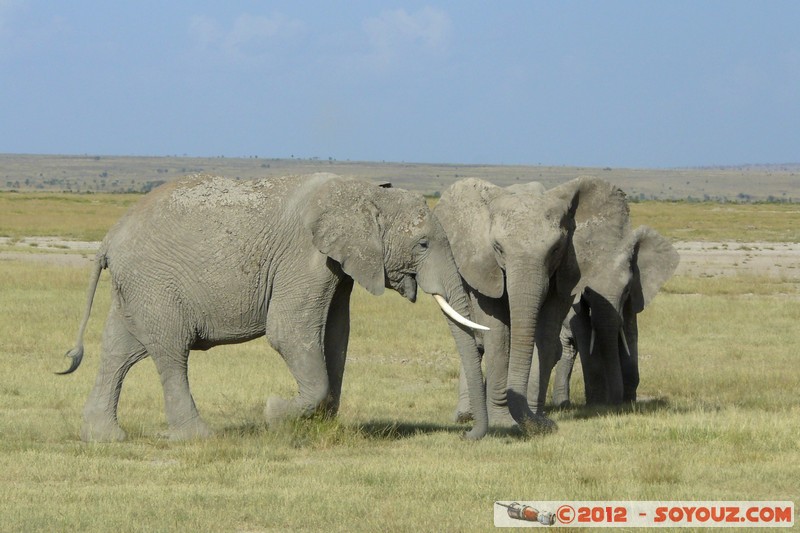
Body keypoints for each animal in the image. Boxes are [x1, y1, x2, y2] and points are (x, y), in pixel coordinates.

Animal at [56, 174, 490, 440]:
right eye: (422, 244)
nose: (468, 432)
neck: (363, 191)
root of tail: (108, 240)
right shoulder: (304, 258)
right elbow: (290, 333)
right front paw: (275, 412)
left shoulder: (338, 268)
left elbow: (335, 336)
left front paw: (318, 425)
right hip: (155, 283)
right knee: (170, 351)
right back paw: (198, 437)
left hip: (136, 288)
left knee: (120, 349)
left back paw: (104, 437)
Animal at [432, 177, 612, 430]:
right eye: (497, 248)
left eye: (556, 249)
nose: (549, 424)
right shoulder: (485, 268)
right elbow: (498, 336)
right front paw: (503, 423)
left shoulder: (567, 270)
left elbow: (546, 338)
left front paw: (535, 419)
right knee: (476, 340)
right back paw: (465, 416)